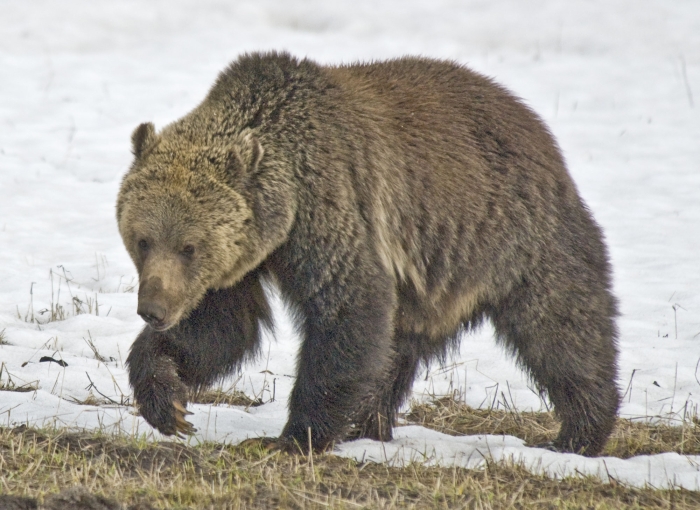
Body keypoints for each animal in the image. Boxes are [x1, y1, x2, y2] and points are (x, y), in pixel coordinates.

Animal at [117, 51, 620, 456]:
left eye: (189, 245)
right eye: (142, 239)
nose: (153, 309)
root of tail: (537, 127)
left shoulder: (330, 208)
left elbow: (349, 309)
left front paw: (293, 437)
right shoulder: (242, 259)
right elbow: (221, 328)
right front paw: (167, 401)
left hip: (513, 236)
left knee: (562, 328)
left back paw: (579, 432)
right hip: (430, 279)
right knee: (396, 350)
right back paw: (368, 425)